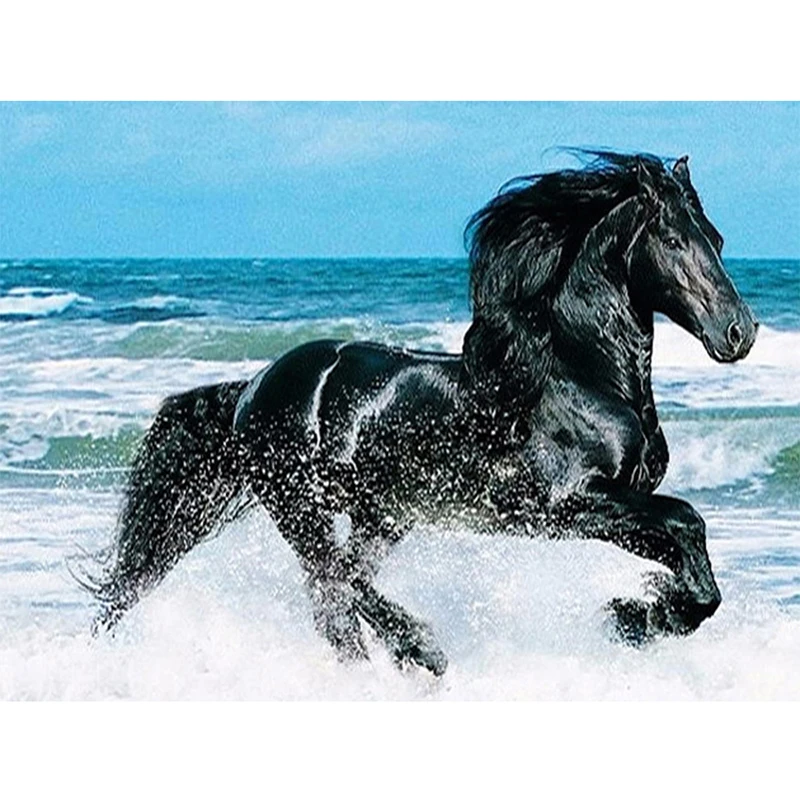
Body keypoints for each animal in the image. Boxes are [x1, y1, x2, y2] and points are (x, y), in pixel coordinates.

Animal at [78, 151, 758, 676]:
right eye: (673, 239)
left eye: (719, 239)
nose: (739, 333)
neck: (580, 374)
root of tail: (253, 388)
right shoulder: (570, 505)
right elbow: (688, 522)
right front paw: (632, 616)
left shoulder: (613, 505)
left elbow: (688, 550)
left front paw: (643, 614)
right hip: (302, 507)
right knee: (333, 581)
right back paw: (417, 650)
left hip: (382, 516)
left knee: (338, 588)